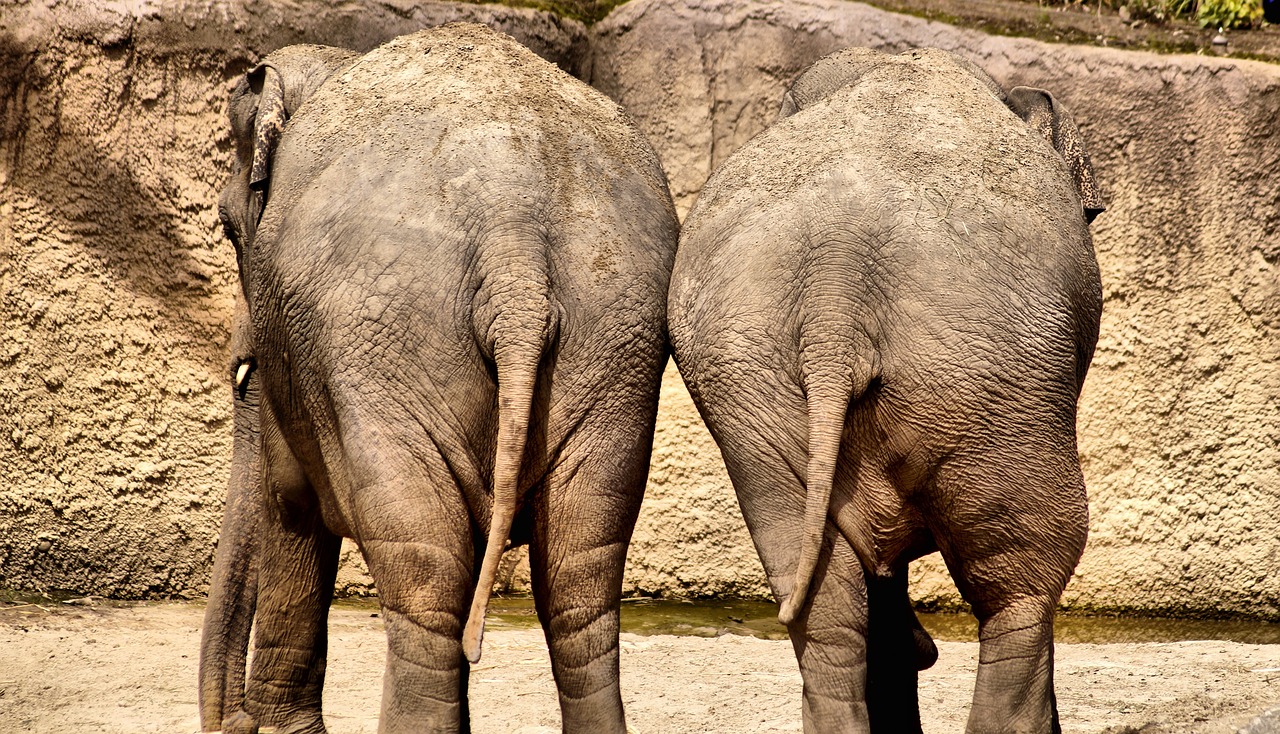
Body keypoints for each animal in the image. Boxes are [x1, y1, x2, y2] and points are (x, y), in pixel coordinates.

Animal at [197, 22, 680, 732]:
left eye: (229, 229)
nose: (234, 724)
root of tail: (514, 238)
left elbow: (287, 497)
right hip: (615, 332)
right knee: (578, 578)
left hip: (382, 339)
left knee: (425, 576)